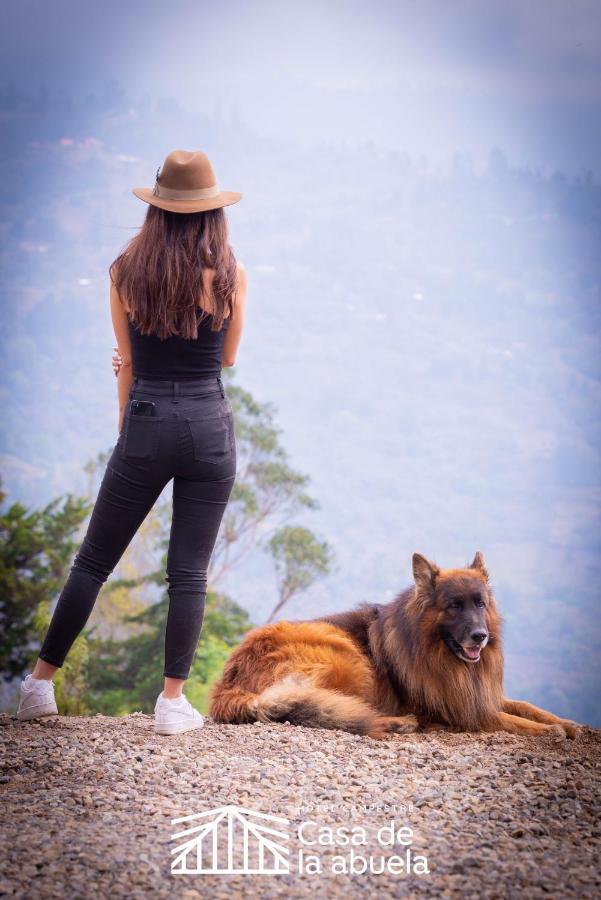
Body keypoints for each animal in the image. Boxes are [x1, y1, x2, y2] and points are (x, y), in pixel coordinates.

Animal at [209, 552, 580, 740]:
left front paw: (565, 722)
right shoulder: (460, 709)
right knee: (333, 711)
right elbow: (510, 719)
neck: (438, 653)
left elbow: (524, 705)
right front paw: (550, 730)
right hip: (346, 656)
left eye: (480, 603)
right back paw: (396, 723)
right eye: (454, 606)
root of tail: (229, 681)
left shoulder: (474, 693)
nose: (480, 636)